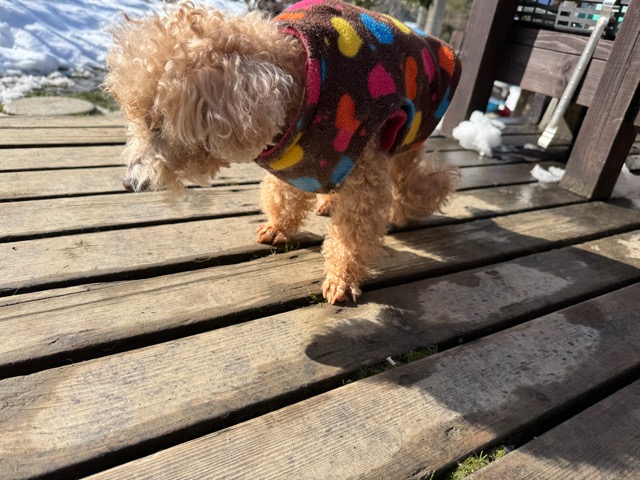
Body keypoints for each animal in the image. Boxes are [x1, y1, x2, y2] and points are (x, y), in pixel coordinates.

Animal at [104, 0, 461, 304]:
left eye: (155, 123)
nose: (128, 183)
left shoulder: (365, 171)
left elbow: (354, 231)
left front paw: (342, 279)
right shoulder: (298, 157)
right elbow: (285, 194)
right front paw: (278, 227)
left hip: (405, 135)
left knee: (415, 179)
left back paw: (409, 204)